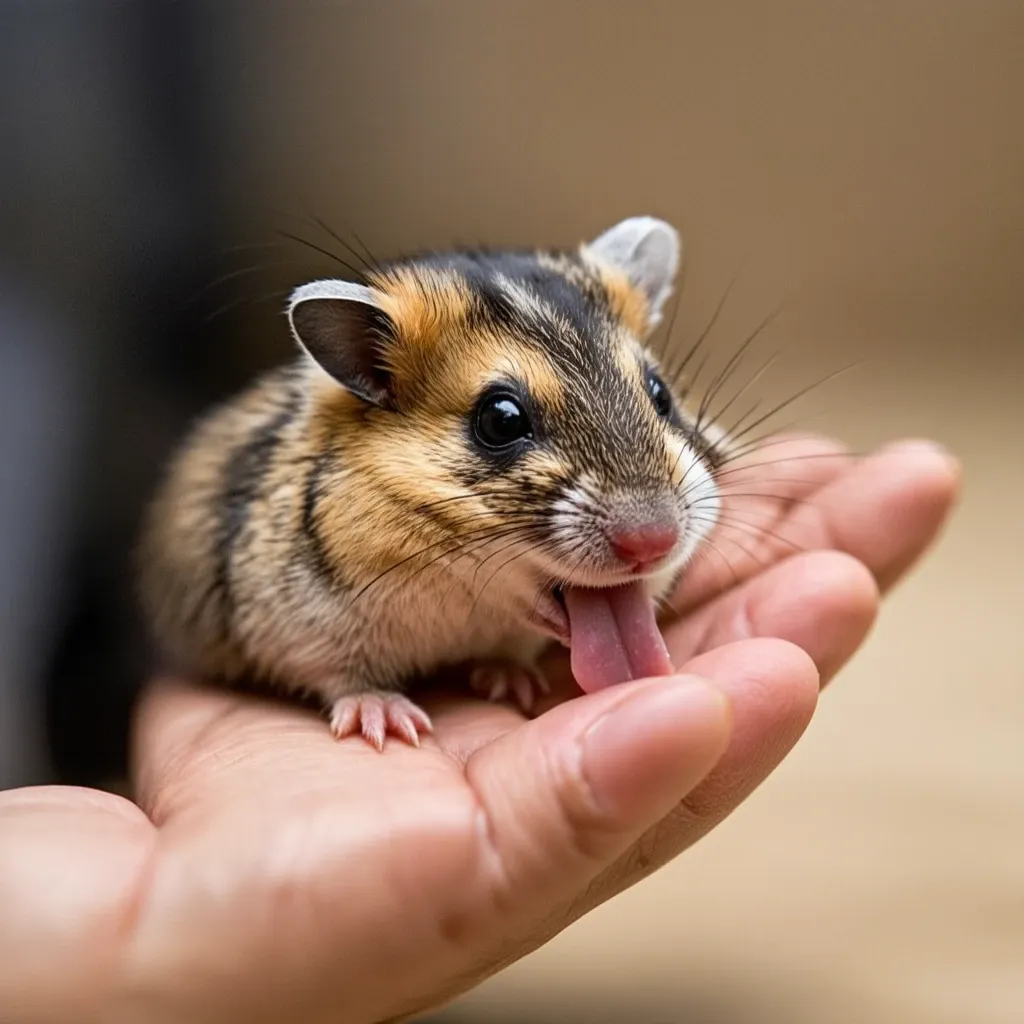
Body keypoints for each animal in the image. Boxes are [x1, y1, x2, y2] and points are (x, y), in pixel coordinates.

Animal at [138, 216, 729, 749]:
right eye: (500, 420)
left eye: (660, 393)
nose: (654, 543)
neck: (465, 598)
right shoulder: (295, 627)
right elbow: (341, 677)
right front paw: (387, 722)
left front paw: (510, 681)